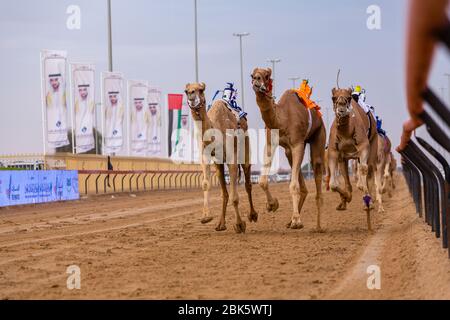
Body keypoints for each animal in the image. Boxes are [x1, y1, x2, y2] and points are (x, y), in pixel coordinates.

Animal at [185, 81, 258, 234]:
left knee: (248, 184)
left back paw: (254, 214)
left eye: (201, 90)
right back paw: (220, 224)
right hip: (219, 164)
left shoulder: (232, 159)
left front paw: (239, 224)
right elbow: (206, 184)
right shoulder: (206, 158)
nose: (191, 95)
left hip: (245, 148)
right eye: (186, 90)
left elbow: (235, 197)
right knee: (224, 192)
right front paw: (206, 217)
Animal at [250, 67, 326, 230]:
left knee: (317, 171)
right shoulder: (271, 143)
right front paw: (272, 205)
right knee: (302, 184)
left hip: (319, 135)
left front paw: (297, 221)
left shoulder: (298, 144)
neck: (281, 120)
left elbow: (293, 185)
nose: (256, 80)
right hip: (289, 152)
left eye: (267, 75)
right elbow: (262, 181)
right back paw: (290, 221)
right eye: (252, 75)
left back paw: (318, 226)